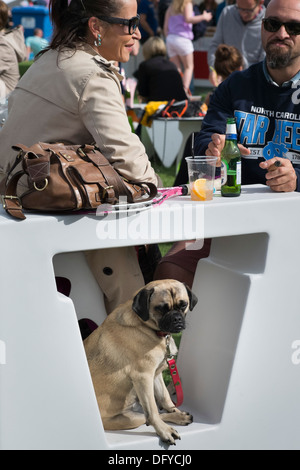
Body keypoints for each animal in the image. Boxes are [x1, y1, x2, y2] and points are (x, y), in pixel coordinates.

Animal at [83, 280, 198, 446]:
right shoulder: (144, 376)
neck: (147, 326)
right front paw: (165, 431)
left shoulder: (156, 375)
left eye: (183, 305)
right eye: (160, 308)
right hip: (131, 419)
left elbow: (165, 398)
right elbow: (154, 411)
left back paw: (178, 417)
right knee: (148, 417)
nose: (176, 318)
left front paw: (175, 411)